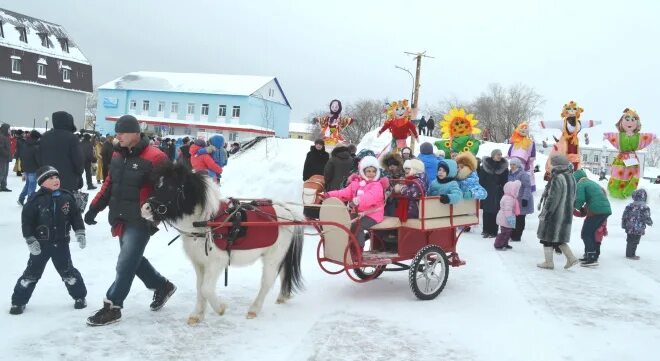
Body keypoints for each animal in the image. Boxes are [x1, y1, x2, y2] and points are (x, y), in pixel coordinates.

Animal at [142, 162, 304, 324]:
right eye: (157, 185)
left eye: (171, 186)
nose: (145, 208)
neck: (207, 221)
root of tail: (287, 211)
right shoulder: (199, 263)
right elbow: (199, 287)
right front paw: (197, 314)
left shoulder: (217, 262)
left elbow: (206, 288)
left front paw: (220, 308)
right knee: (283, 272)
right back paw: (283, 296)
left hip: (273, 257)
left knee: (267, 282)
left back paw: (254, 309)